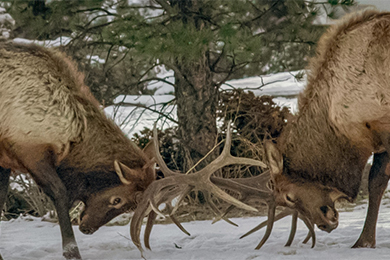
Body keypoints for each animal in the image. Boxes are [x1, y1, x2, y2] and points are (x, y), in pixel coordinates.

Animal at [0, 41, 155, 258]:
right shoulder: (30, 151)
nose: (87, 228)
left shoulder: (5, 161)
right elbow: (60, 193)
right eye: (117, 200)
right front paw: (71, 250)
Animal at [264, 10, 390, 249]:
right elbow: (377, 183)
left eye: (288, 196)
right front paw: (366, 241)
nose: (324, 223)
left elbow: (376, 182)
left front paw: (363, 241)